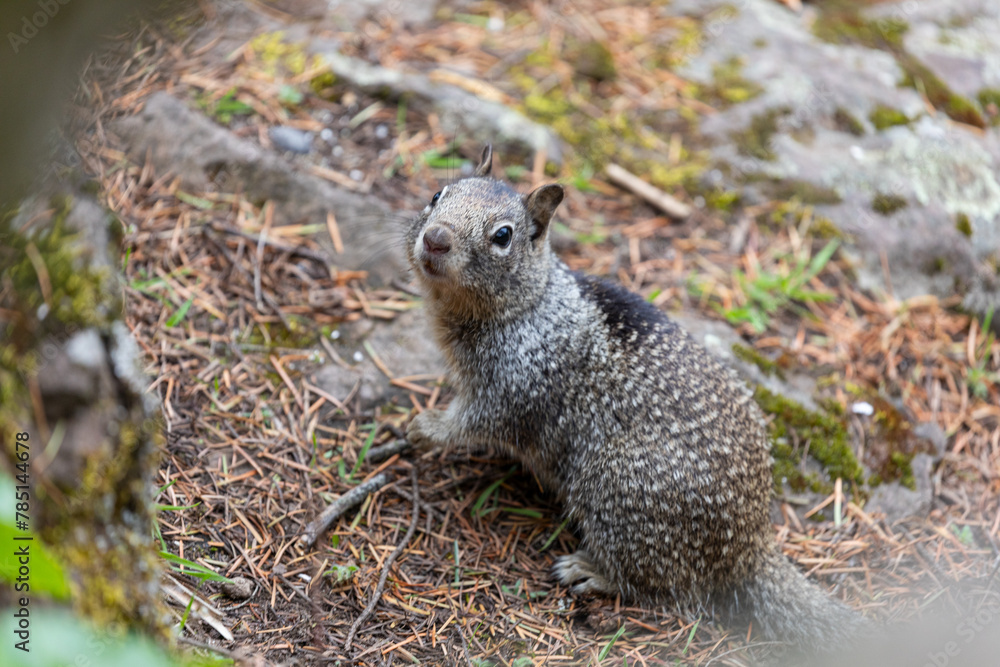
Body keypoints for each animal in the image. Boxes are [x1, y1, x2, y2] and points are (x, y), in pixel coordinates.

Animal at [405, 145, 867, 652]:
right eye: (437, 193)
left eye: (502, 235)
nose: (436, 239)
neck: (531, 303)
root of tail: (747, 549)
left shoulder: (515, 387)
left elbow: (473, 422)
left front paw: (424, 426)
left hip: (614, 489)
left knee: (664, 584)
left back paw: (590, 571)